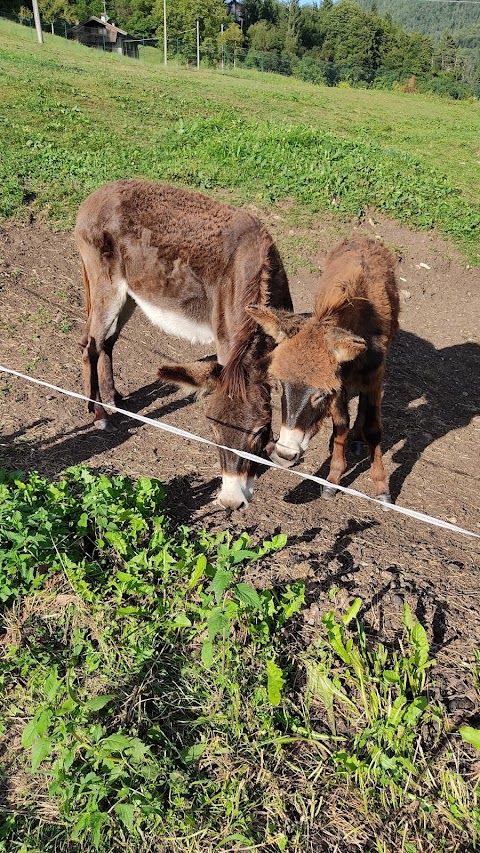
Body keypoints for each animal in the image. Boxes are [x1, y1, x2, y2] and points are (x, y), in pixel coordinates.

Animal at [75, 179, 292, 506]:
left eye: (260, 430)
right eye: (213, 431)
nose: (231, 501)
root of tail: (96, 195)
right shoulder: (225, 345)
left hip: (130, 294)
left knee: (108, 342)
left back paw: (113, 399)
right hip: (106, 286)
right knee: (91, 344)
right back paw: (99, 415)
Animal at [249, 236, 400, 502]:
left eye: (320, 395)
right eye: (279, 386)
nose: (284, 455)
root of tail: (364, 239)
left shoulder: (373, 376)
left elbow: (373, 429)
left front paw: (382, 488)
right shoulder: (339, 384)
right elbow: (340, 425)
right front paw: (333, 478)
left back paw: (357, 439)